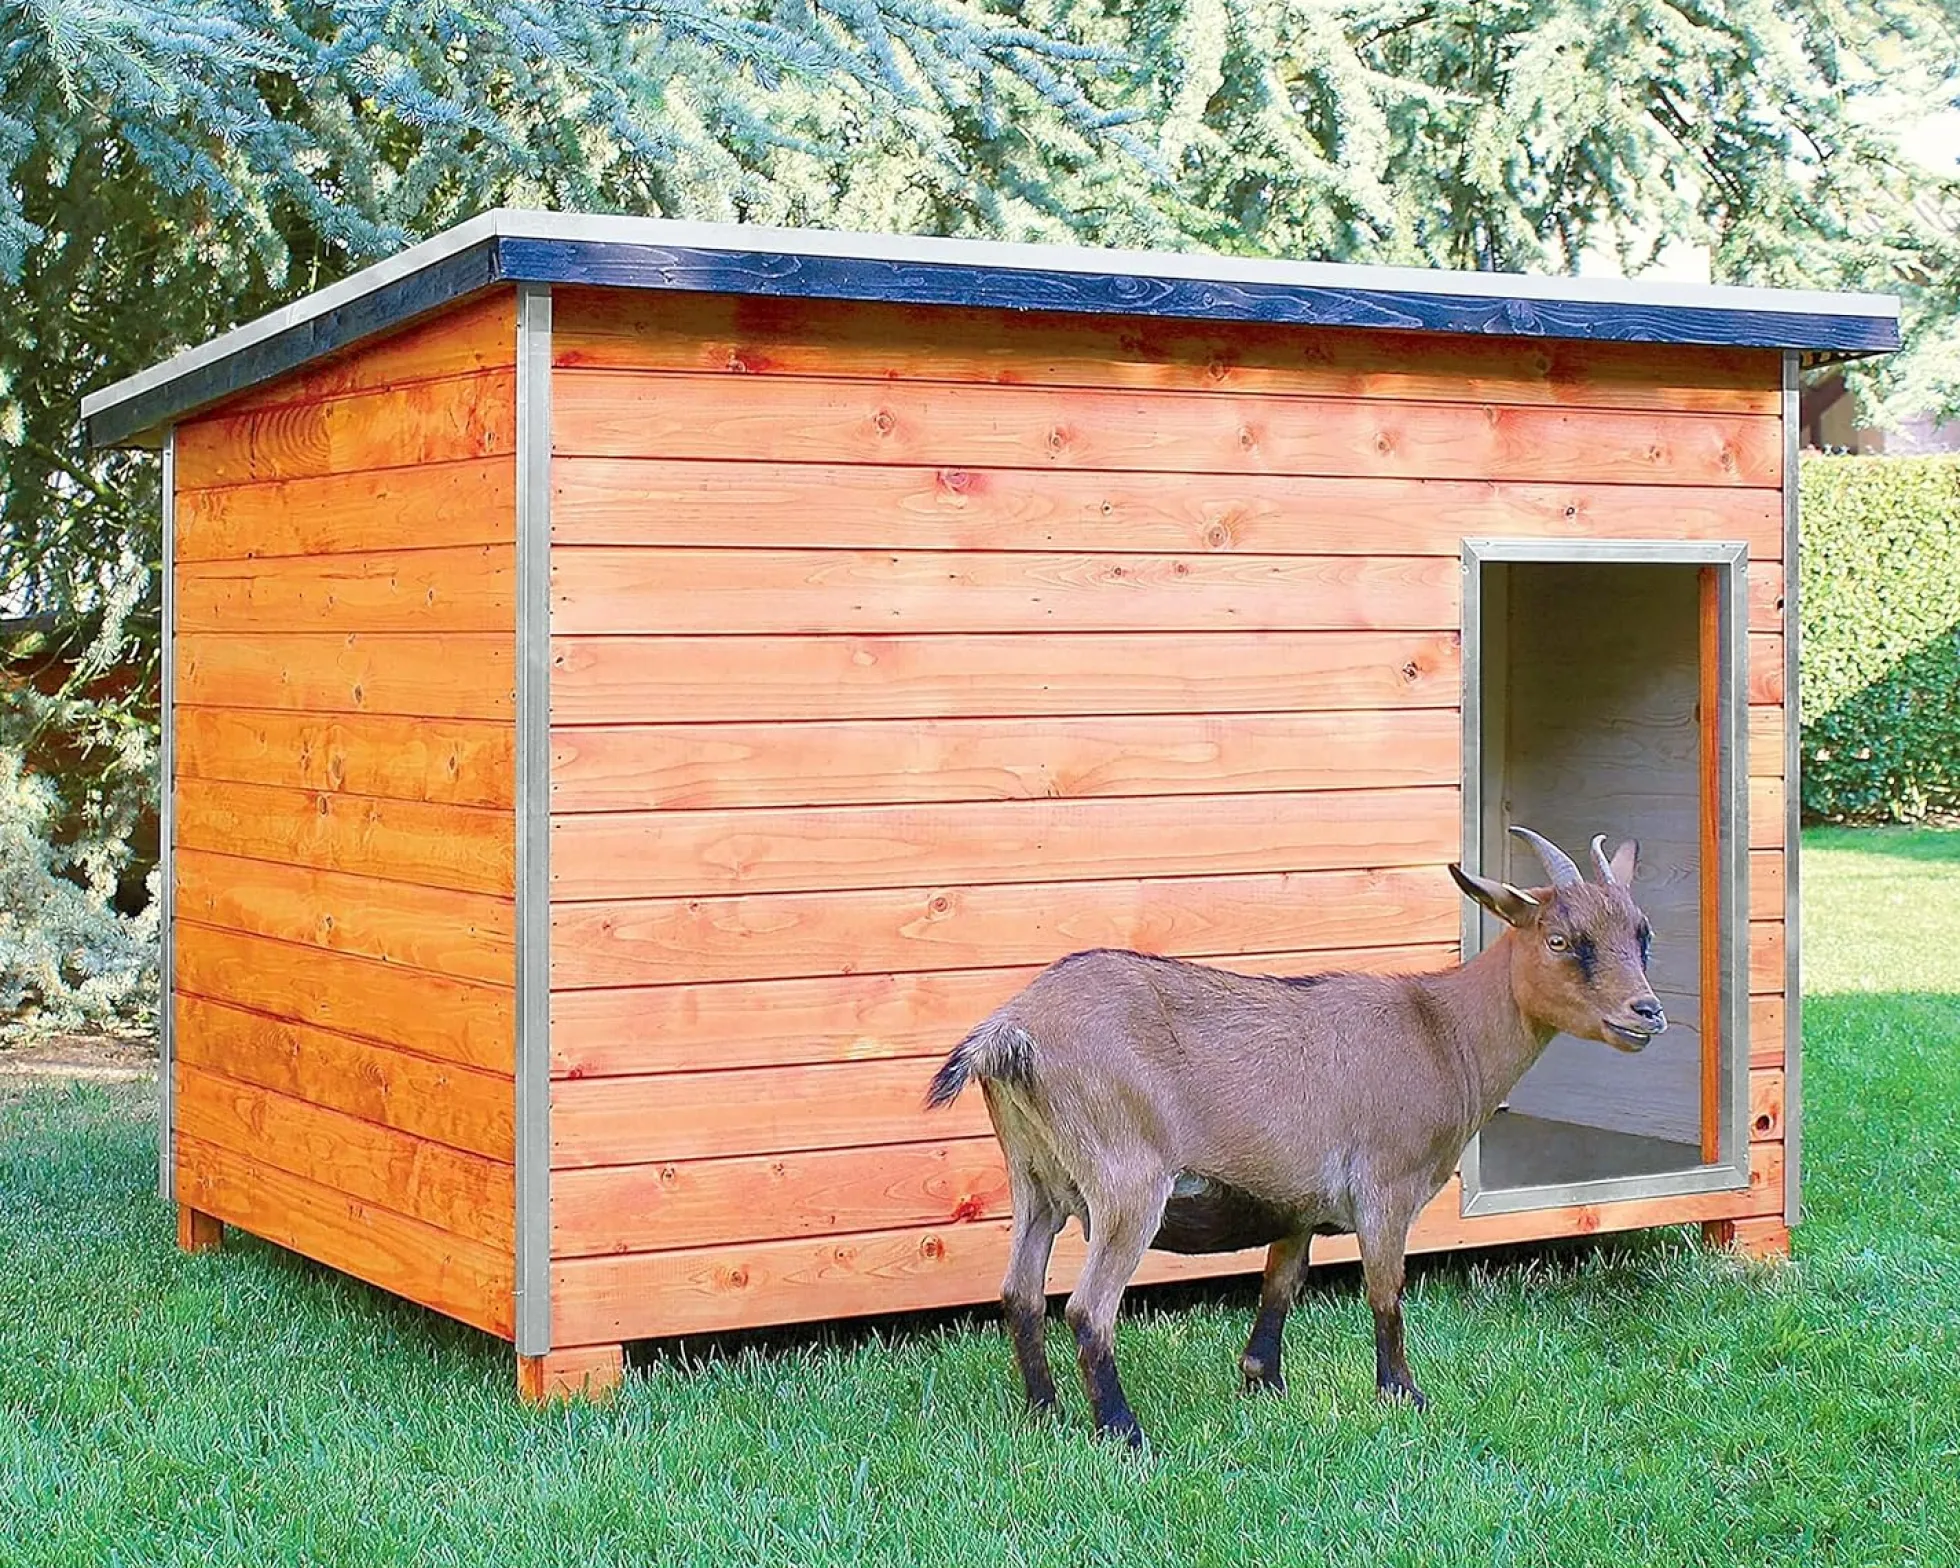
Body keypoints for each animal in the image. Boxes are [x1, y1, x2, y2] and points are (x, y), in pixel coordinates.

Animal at [925, 826, 1664, 1447]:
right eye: (1559, 939)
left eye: (1641, 933)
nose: (1647, 1012)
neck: (1442, 1032)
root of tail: (1011, 1031)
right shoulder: (1384, 1185)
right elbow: (1386, 1289)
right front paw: (1404, 1394)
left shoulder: (1298, 1203)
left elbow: (1281, 1283)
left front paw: (1264, 1381)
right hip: (1126, 1182)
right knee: (1087, 1307)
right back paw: (1122, 1431)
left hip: (1035, 1179)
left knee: (1020, 1293)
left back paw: (1043, 1412)